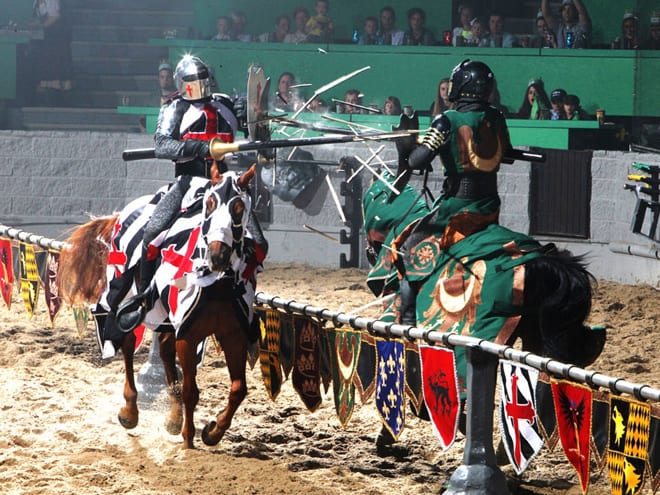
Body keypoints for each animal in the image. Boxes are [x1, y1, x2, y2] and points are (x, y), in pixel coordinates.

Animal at [57, 168, 262, 450]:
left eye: (239, 207)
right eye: (209, 204)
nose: (217, 256)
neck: (216, 285)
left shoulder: (233, 335)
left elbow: (238, 389)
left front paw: (213, 431)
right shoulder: (188, 336)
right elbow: (191, 391)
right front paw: (189, 439)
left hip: (165, 317)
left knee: (164, 353)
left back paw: (173, 417)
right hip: (128, 301)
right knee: (128, 347)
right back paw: (130, 411)